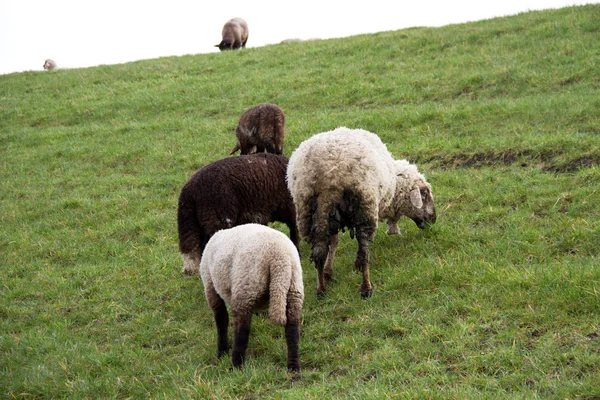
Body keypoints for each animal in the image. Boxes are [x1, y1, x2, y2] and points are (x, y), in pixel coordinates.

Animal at [200, 223, 304, 370]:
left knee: (242, 330)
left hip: (246, 287)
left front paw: (222, 351)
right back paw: (293, 368)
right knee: (293, 330)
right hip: (294, 289)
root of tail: (279, 258)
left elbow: (221, 320)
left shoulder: (210, 285)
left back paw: (236, 366)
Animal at [286, 126, 436, 298]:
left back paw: (321, 290)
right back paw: (366, 288)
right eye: (425, 194)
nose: (433, 218)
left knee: (319, 252)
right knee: (364, 250)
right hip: (365, 204)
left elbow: (334, 243)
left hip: (309, 211)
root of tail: (329, 173)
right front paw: (353, 267)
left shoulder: (332, 218)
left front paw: (328, 272)